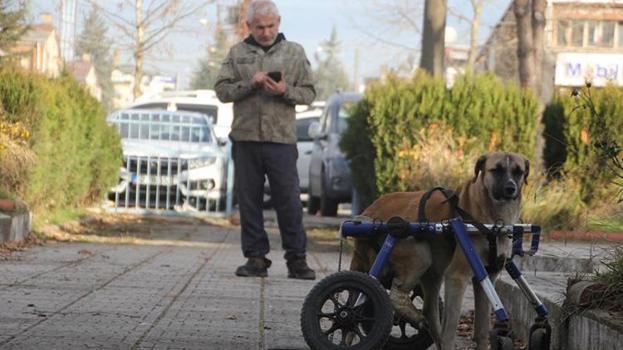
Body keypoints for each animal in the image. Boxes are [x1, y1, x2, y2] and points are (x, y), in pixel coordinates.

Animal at [348, 151, 528, 350]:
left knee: (427, 311)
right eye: (496, 170)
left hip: (431, 274)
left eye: (518, 172)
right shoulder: (456, 277)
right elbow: (450, 327)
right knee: (396, 293)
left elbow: (481, 329)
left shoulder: (488, 277)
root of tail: (368, 213)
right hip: (418, 253)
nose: (510, 188)